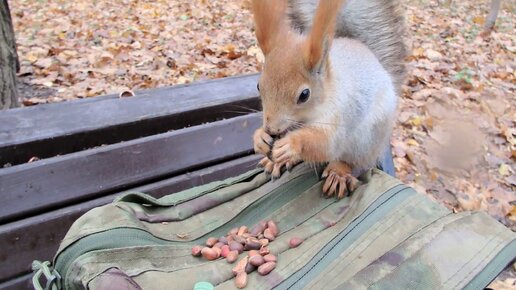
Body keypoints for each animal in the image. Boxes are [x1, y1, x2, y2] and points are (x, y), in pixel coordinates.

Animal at [251, 0, 408, 198]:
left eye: (304, 95)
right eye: (258, 86)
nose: (271, 129)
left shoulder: (341, 114)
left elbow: (326, 144)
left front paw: (291, 144)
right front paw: (260, 137)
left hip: (367, 141)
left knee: (352, 161)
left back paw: (338, 173)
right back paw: (277, 162)